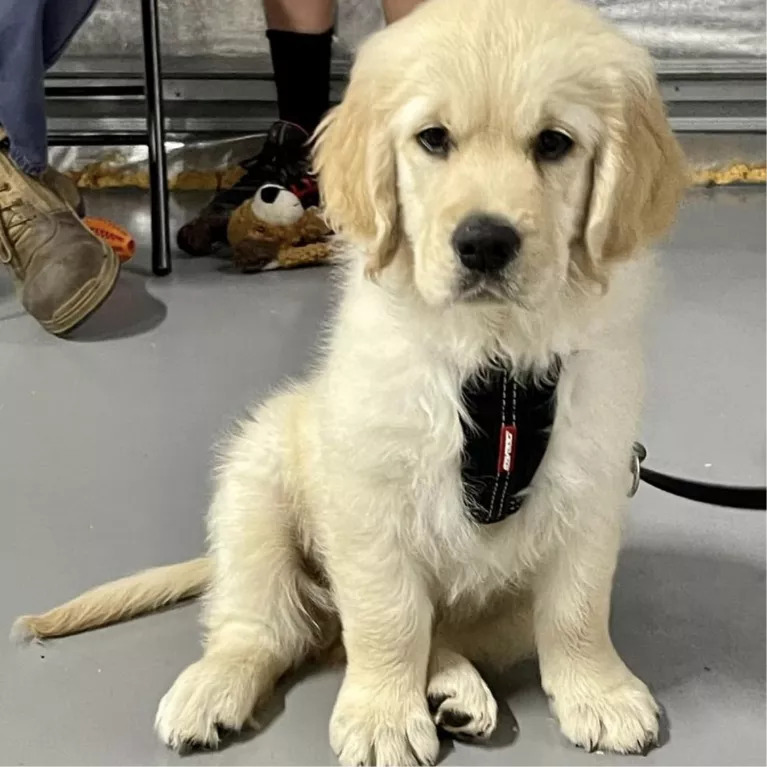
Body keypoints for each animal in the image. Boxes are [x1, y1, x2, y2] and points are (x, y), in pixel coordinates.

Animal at [12, 0, 688, 764]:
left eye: (553, 143)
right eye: (433, 139)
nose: (484, 243)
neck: (492, 354)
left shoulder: (588, 482)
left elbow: (577, 609)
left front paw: (599, 692)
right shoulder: (369, 497)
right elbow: (389, 617)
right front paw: (382, 715)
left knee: (441, 633)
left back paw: (455, 687)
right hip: (254, 495)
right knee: (266, 629)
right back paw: (213, 688)